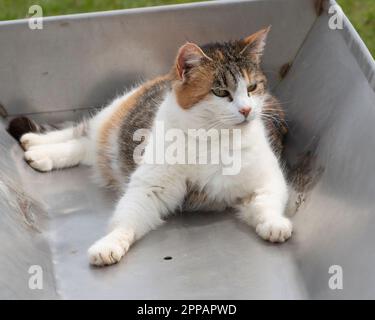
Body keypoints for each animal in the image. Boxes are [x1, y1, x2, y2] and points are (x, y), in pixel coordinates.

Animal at [8, 26, 292, 268]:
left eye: (252, 87)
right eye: (221, 92)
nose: (246, 110)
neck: (215, 139)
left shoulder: (267, 178)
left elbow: (267, 202)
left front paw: (274, 224)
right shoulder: (150, 187)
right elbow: (126, 220)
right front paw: (110, 244)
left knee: (84, 147)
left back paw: (39, 152)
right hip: (113, 116)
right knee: (83, 132)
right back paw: (36, 143)